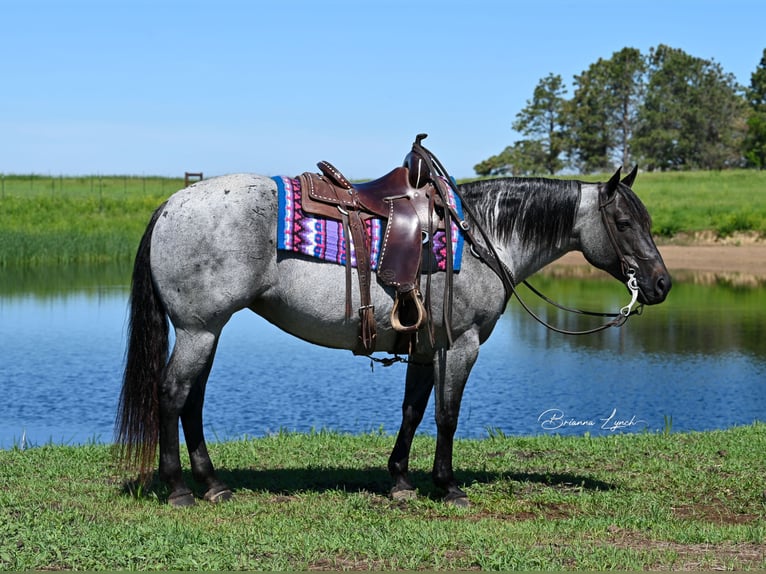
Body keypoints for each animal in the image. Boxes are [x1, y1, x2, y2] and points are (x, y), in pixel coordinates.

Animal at [114, 156, 672, 508]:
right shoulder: (460, 344)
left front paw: (401, 479)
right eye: (624, 223)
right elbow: (447, 415)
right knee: (172, 394)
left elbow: (413, 410)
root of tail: (171, 205)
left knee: (192, 400)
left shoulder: (425, 348)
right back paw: (180, 489)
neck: (483, 238)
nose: (662, 283)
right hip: (198, 329)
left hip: (206, 331)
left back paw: (212, 484)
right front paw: (447, 486)